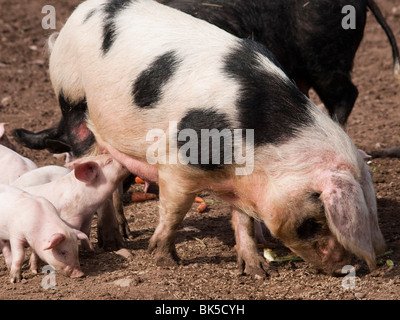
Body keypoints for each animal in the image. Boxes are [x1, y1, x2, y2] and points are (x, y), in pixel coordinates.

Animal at [46, 0, 384, 276]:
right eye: (315, 219)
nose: (345, 268)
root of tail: (78, 14)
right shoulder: (177, 164)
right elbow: (174, 211)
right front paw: (166, 262)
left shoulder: (245, 179)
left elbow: (243, 220)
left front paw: (256, 271)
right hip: (73, 101)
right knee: (91, 166)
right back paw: (113, 242)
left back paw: (123, 237)